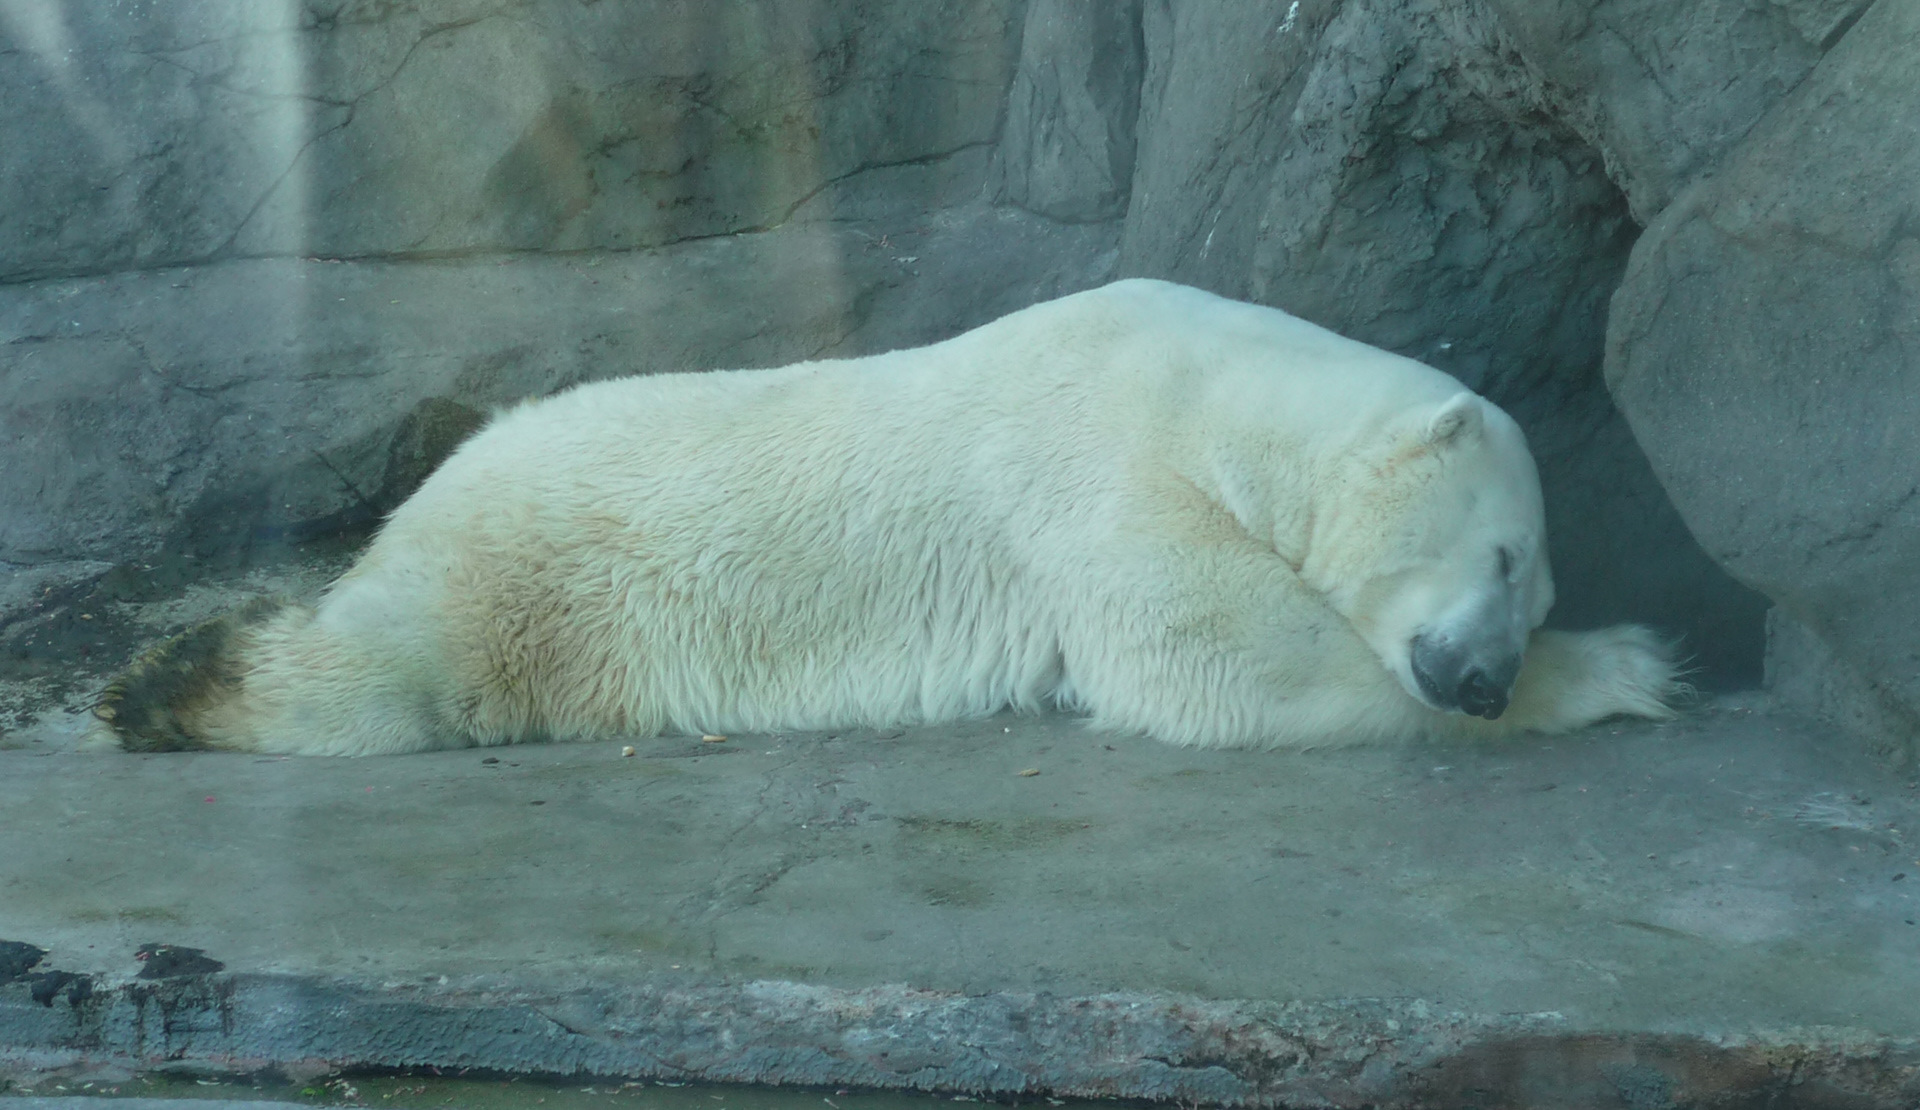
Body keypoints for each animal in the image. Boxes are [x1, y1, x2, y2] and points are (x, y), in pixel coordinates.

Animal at [93, 280, 1681, 756]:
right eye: (1504, 559)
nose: (1478, 679)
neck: (1213, 391)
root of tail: (457, 460)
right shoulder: (1110, 478)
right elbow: (1225, 662)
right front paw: (1633, 665)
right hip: (535, 561)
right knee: (387, 670)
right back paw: (163, 683)